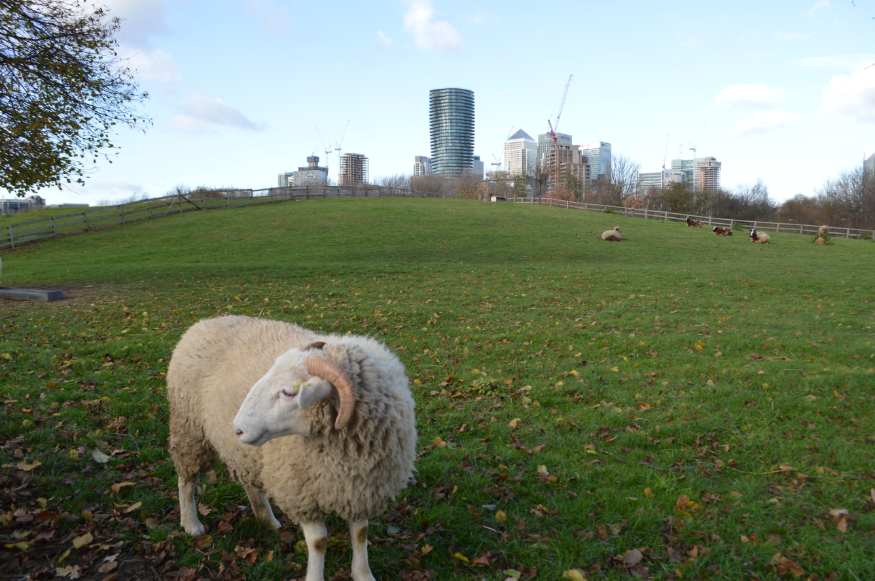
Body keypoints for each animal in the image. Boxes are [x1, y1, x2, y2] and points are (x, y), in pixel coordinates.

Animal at [166, 315, 417, 581]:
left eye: (288, 392)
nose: (238, 429)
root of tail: (204, 322)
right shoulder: (301, 492)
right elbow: (318, 542)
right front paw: (315, 576)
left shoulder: (361, 489)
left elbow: (360, 533)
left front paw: (362, 574)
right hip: (189, 429)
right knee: (186, 479)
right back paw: (191, 524)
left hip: (245, 452)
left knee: (250, 483)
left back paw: (267, 520)